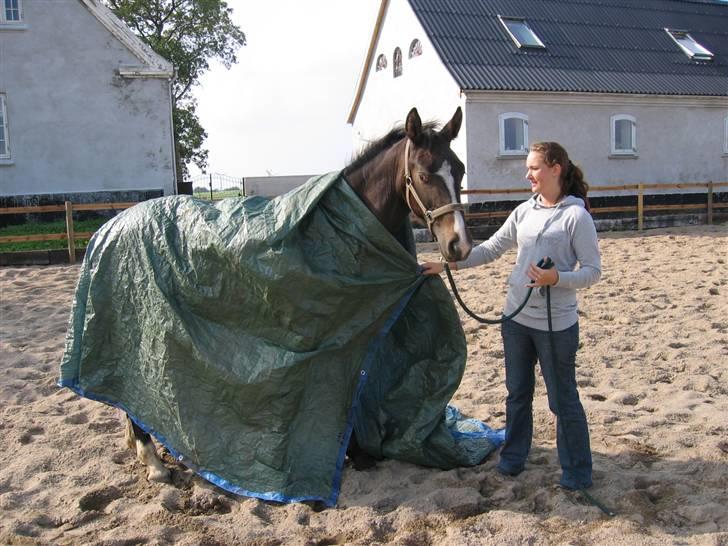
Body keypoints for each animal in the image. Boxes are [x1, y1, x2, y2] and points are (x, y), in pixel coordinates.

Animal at [116, 106, 472, 484]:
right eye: (423, 175)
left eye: (460, 169)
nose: (460, 245)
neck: (343, 229)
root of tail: (115, 224)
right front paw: (348, 454)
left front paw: (358, 451)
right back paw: (153, 461)